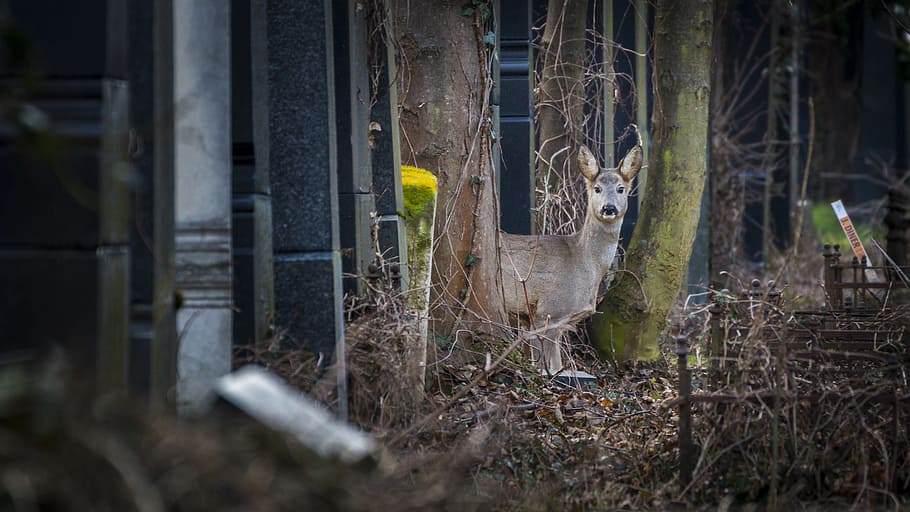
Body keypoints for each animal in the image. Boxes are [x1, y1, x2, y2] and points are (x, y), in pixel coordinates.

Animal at [500, 137, 643, 374]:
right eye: (597, 188)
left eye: (621, 188)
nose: (609, 208)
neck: (584, 262)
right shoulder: (547, 311)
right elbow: (543, 367)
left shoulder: (558, 322)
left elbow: (558, 365)